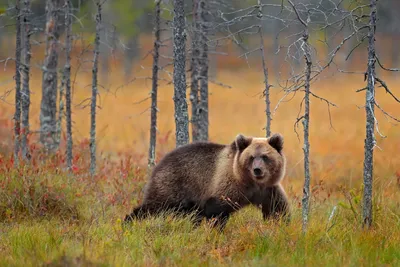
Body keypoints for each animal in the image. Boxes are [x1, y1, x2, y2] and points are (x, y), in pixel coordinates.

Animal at [123, 133, 290, 230]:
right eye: (251, 157)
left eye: (265, 156)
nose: (257, 170)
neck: (251, 182)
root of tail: (160, 163)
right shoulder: (228, 185)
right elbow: (217, 210)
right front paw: (216, 230)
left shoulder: (267, 190)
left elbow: (277, 208)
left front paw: (282, 224)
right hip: (173, 184)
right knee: (154, 206)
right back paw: (129, 221)